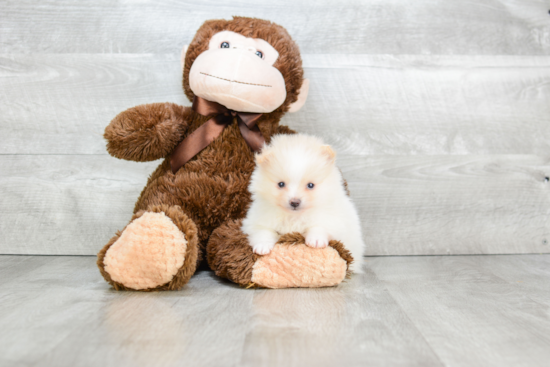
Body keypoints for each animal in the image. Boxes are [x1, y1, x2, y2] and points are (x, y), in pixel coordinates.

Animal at [243, 134, 366, 274]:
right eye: (281, 184)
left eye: (310, 185)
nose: (294, 202)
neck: (294, 216)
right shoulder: (257, 220)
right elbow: (263, 231)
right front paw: (262, 246)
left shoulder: (333, 219)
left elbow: (319, 226)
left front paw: (316, 240)